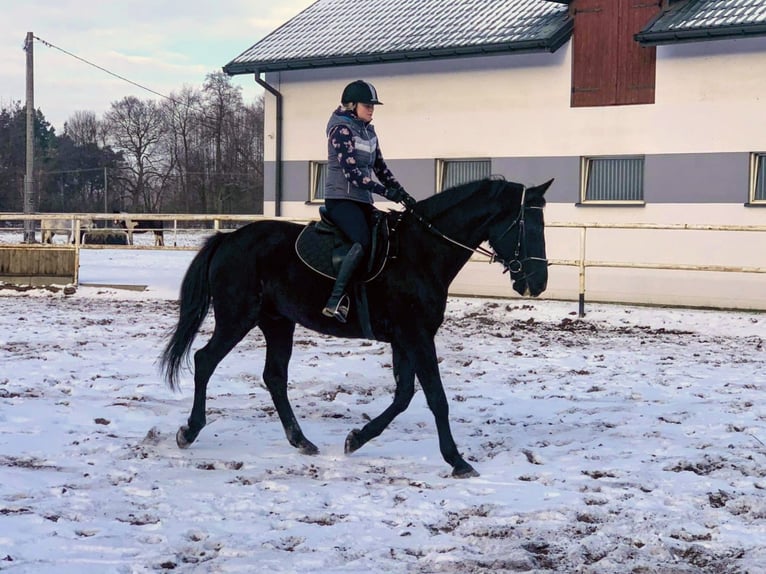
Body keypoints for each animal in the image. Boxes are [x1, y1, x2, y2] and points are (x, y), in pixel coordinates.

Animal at [160, 177, 552, 477]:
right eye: (528, 226)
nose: (538, 283)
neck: (421, 252)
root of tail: (229, 238)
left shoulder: (405, 338)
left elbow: (404, 395)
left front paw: (356, 438)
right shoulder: (416, 335)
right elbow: (436, 398)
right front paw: (457, 461)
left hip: (277, 322)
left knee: (273, 377)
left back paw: (301, 441)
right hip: (237, 317)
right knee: (205, 361)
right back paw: (189, 431)